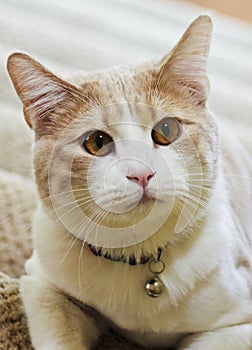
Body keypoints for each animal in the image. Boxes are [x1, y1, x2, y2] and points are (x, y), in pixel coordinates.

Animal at [6, 15, 252, 350]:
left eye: (167, 129)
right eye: (96, 142)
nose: (142, 173)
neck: (140, 258)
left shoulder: (239, 325)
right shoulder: (42, 284)